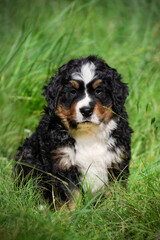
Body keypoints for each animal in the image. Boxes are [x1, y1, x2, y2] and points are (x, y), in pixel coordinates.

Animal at [13, 55, 132, 207]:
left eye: (98, 91)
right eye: (72, 92)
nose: (86, 110)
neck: (89, 134)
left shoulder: (117, 162)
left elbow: (115, 193)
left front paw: (116, 210)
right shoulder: (63, 164)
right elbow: (72, 197)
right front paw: (74, 213)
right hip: (29, 162)